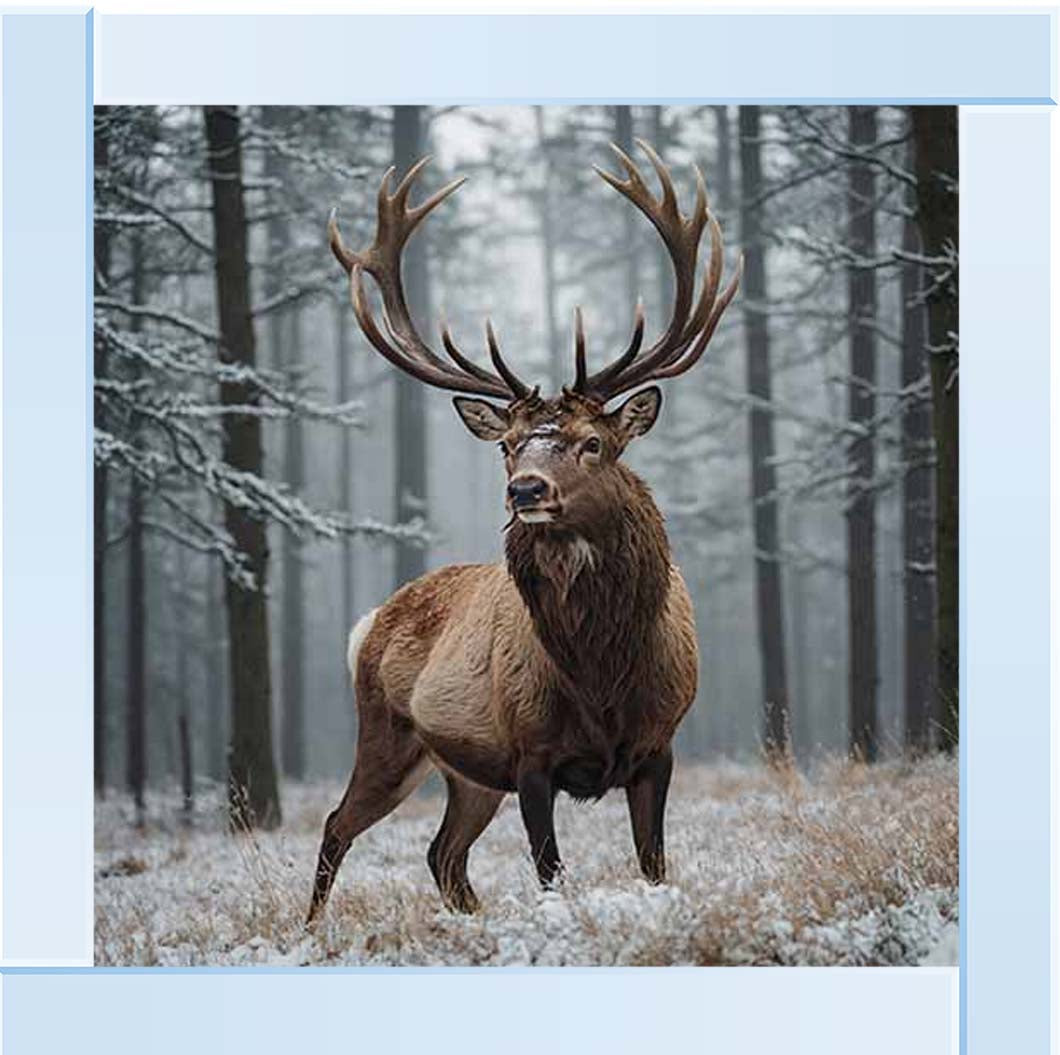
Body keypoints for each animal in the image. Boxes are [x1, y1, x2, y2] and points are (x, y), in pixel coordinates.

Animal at [307, 140, 741, 923]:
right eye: (508, 446)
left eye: (594, 442)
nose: (526, 490)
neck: (602, 676)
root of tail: (370, 621)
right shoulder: (530, 753)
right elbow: (550, 871)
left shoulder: (660, 745)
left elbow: (654, 864)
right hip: (389, 735)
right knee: (337, 824)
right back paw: (312, 929)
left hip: (468, 775)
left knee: (442, 854)